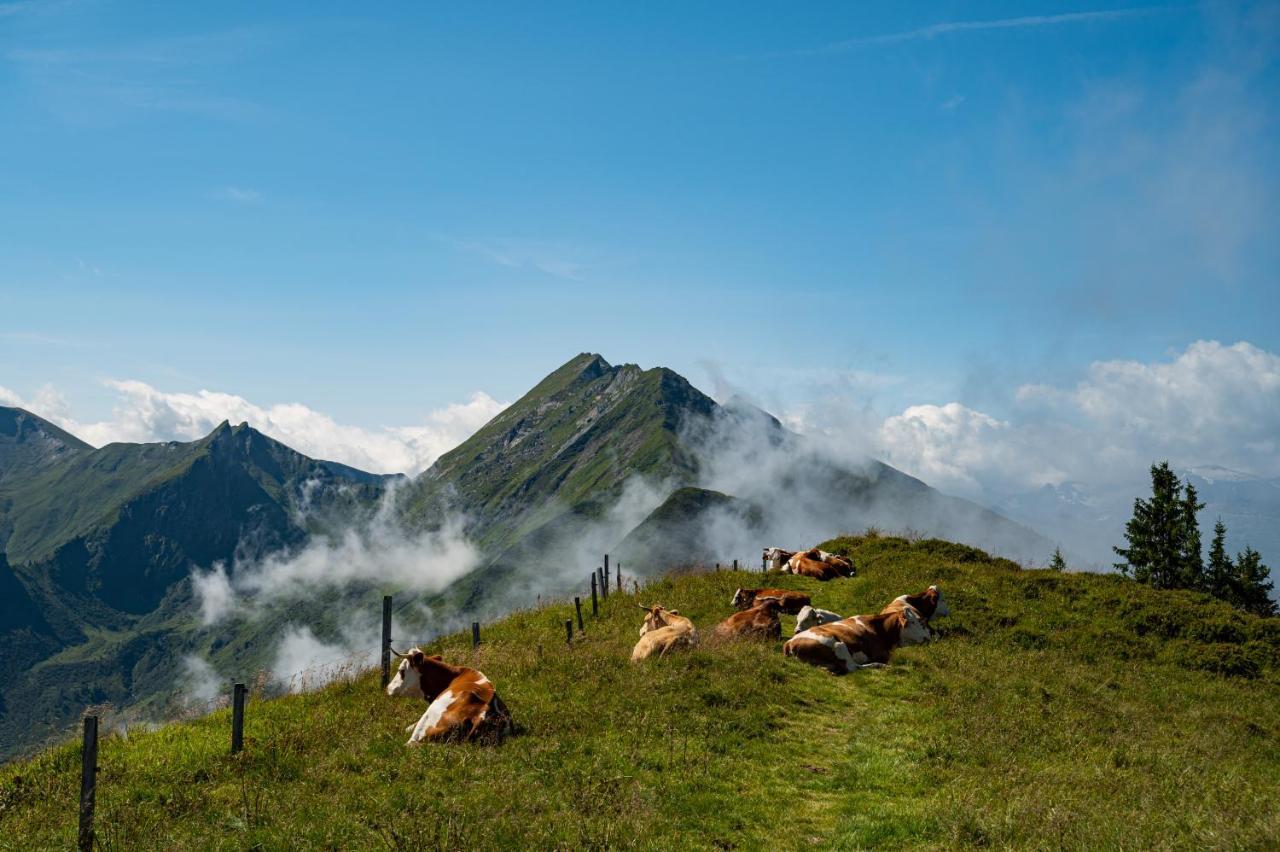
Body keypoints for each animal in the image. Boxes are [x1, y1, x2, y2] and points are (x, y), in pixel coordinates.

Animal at [778, 606, 931, 675]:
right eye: (912, 622)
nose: (927, 638)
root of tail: (789, 642)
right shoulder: (882, 654)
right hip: (839, 645)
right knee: (853, 667)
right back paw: (879, 666)